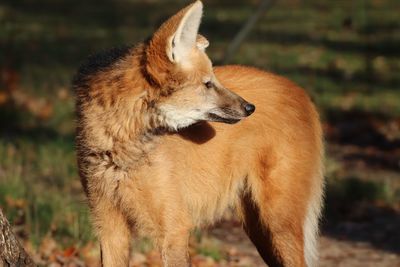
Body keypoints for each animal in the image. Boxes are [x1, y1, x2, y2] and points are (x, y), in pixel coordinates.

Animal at [74, 1, 324, 266]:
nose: (249, 108)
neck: (121, 145)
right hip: (259, 227)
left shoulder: (173, 228)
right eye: (207, 84)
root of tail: (300, 91)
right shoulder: (109, 226)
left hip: (277, 221)